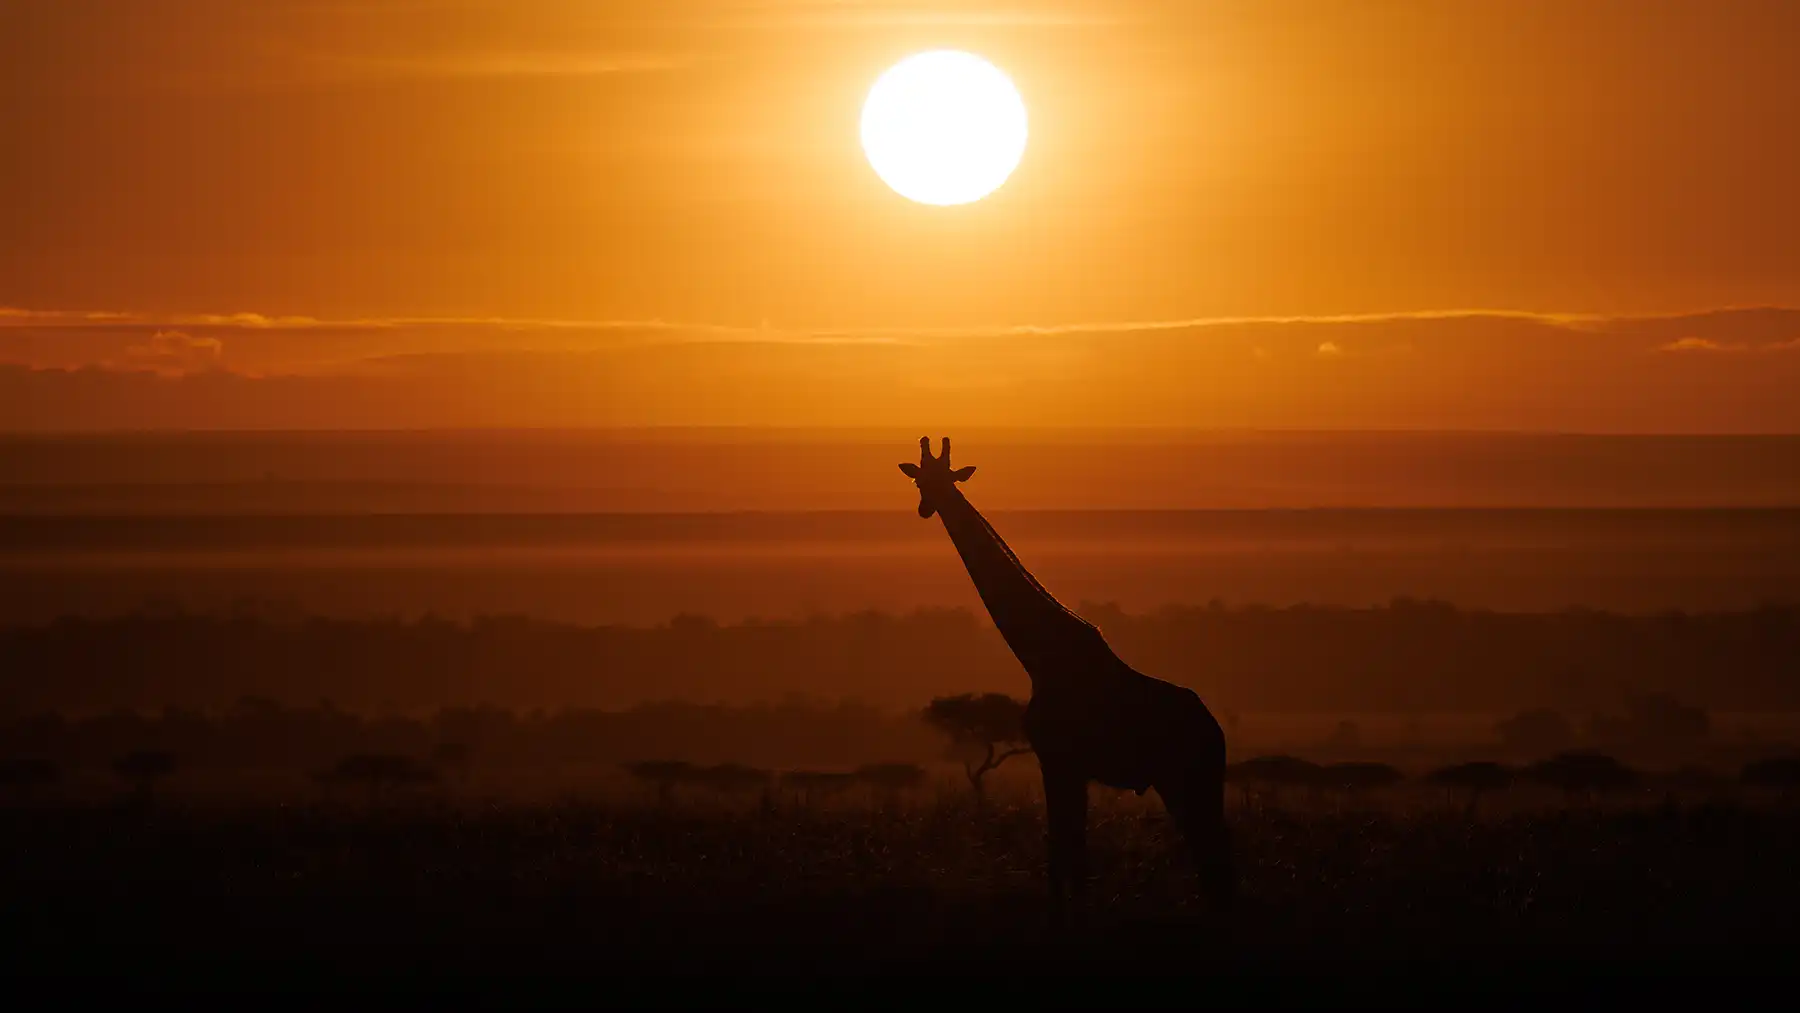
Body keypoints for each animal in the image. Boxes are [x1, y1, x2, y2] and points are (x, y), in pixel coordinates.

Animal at [900, 436, 1234, 921]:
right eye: (920, 480)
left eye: (946, 479)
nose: (928, 507)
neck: (1040, 656)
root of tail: (1217, 732)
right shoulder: (1071, 768)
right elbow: (1072, 850)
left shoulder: (1057, 760)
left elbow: (1063, 848)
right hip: (1193, 781)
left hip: (1187, 779)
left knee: (1212, 852)